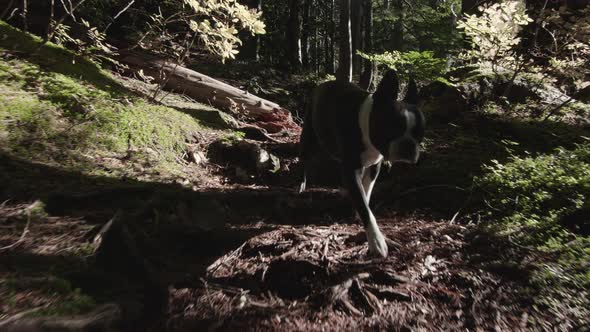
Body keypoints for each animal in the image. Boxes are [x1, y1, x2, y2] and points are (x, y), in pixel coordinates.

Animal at [300, 69, 426, 256]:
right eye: (392, 128)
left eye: (419, 133)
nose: (409, 144)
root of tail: (321, 85)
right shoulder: (351, 169)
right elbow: (364, 205)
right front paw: (376, 240)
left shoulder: (375, 166)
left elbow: (365, 192)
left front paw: (359, 210)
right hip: (309, 138)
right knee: (304, 161)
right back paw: (301, 186)